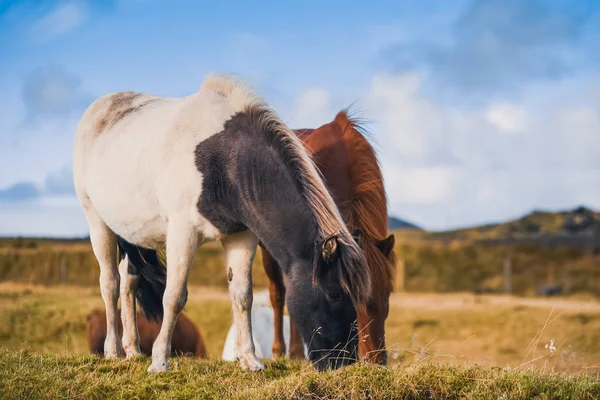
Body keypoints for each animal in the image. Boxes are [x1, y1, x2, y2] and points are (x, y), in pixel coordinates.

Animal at [72, 73, 368, 374]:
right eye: (334, 294)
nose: (345, 362)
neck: (224, 161)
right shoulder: (182, 233)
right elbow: (174, 297)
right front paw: (159, 361)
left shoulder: (241, 236)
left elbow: (242, 296)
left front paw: (249, 359)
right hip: (97, 221)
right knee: (110, 283)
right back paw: (113, 351)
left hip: (132, 234)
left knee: (128, 283)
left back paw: (132, 349)